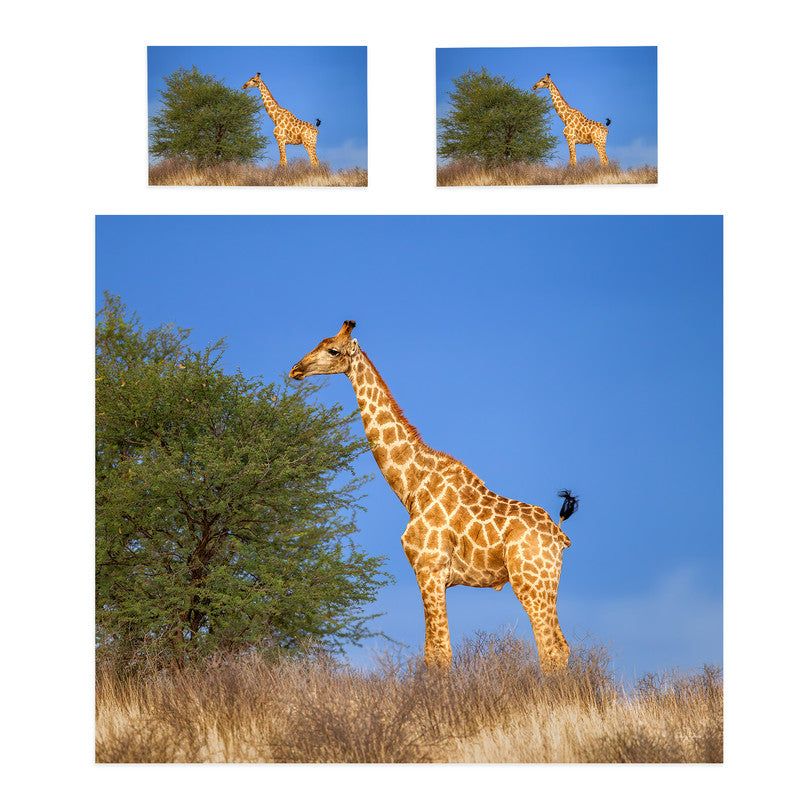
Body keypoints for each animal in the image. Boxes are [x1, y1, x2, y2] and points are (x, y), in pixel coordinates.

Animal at [290, 321, 578, 671]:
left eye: (333, 350)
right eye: (319, 342)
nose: (296, 369)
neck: (412, 487)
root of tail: (560, 536)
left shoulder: (429, 568)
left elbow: (438, 654)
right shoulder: (431, 573)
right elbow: (433, 652)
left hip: (530, 581)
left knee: (550, 650)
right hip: (547, 584)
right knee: (562, 647)